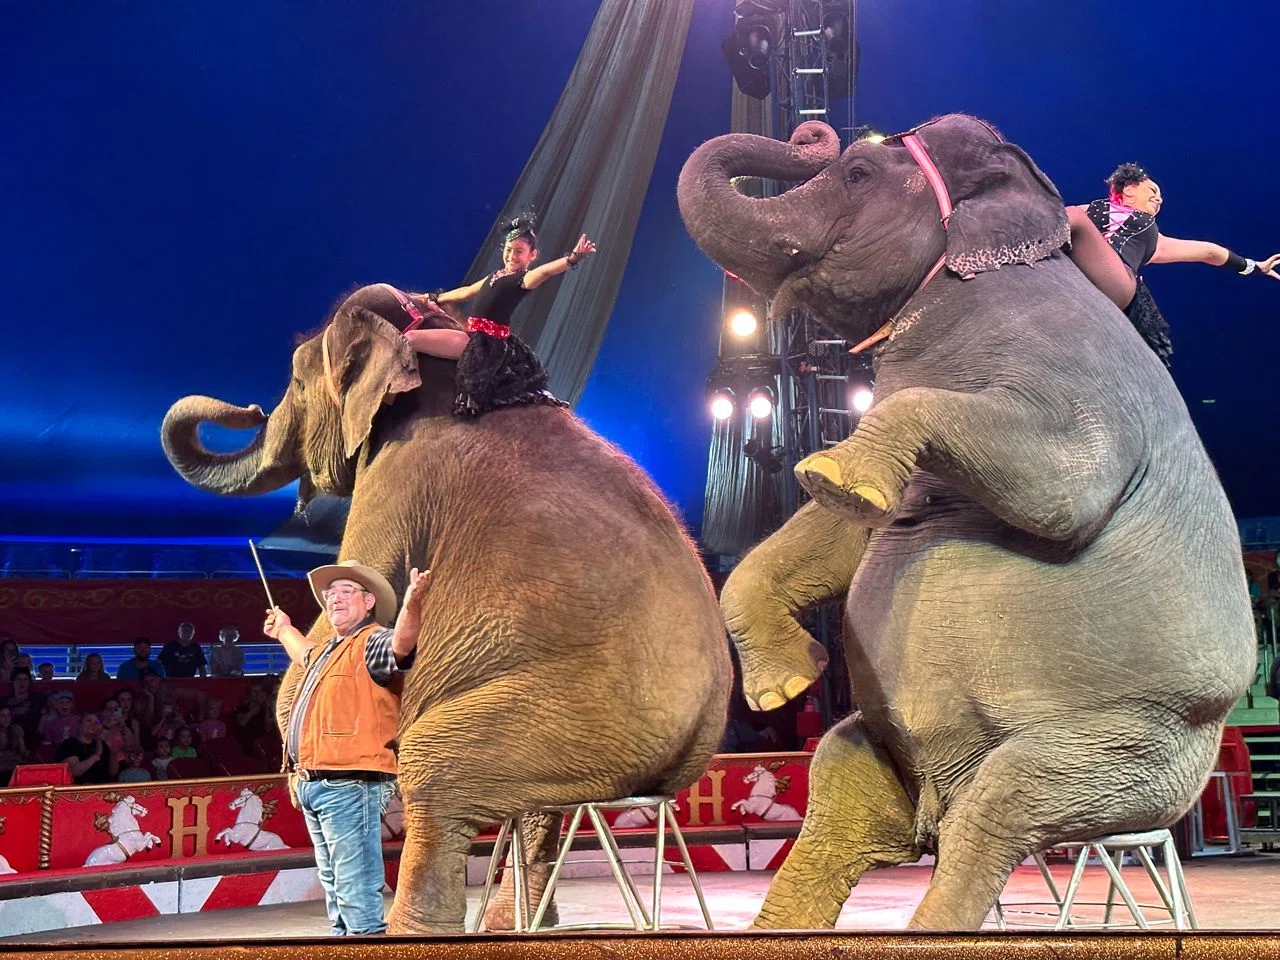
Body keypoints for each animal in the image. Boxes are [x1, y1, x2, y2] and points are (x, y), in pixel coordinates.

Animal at [161, 282, 732, 933]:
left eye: (297, 381)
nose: (253, 408)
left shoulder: (395, 486)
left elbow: (350, 602)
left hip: (574, 712)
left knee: (432, 776)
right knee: (535, 807)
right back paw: (513, 921)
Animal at [677, 116, 1255, 930]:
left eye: (856, 174)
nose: (811, 131)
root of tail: (936, 794)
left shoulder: (1074, 379)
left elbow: (1063, 488)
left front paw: (826, 476)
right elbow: (845, 530)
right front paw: (781, 688)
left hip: (1129, 750)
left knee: (997, 810)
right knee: (841, 796)